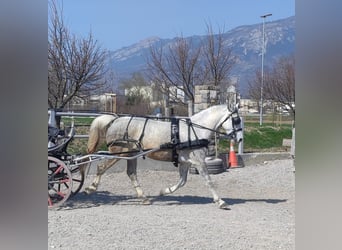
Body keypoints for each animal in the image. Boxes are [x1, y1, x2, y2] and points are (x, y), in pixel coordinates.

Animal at [81, 104, 242, 209]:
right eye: (237, 120)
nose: (239, 139)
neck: (195, 130)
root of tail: (114, 120)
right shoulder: (199, 161)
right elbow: (209, 181)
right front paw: (220, 201)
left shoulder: (186, 162)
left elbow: (182, 182)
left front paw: (164, 191)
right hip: (120, 153)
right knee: (101, 167)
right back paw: (91, 188)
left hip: (131, 155)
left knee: (131, 173)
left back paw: (144, 198)